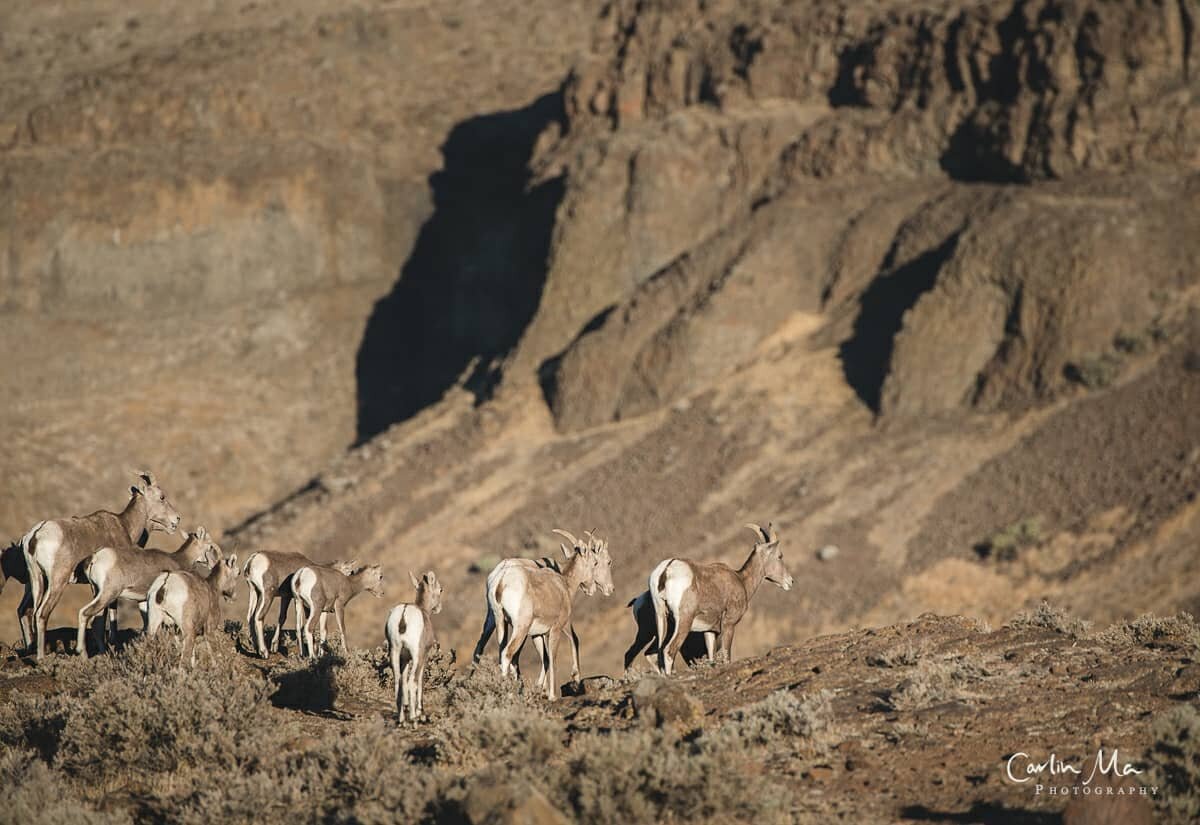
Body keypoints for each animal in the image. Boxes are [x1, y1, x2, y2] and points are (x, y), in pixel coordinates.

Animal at [22, 470, 180, 657]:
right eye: (162, 497)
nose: (176, 520)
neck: (125, 526)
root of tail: (36, 535)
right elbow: (109, 616)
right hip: (57, 582)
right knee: (41, 613)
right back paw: (42, 656)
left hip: (37, 581)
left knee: (30, 612)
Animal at [77, 525, 220, 661]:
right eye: (210, 545)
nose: (214, 564)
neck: (178, 559)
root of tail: (96, 557)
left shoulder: (143, 601)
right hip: (108, 594)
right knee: (84, 613)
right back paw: (82, 654)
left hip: (97, 593)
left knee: (97, 623)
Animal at [386, 573, 444, 719]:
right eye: (440, 589)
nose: (439, 608)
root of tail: (403, 615)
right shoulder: (424, 656)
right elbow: (420, 681)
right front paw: (420, 710)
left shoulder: (405, 658)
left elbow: (403, 680)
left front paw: (406, 706)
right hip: (416, 655)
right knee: (412, 681)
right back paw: (413, 717)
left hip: (394, 651)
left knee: (398, 680)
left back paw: (401, 717)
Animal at [489, 527, 614, 695]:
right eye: (597, 562)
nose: (608, 588)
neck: (564, 583)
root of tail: (501, 581)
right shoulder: (557, 628)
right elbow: (556, 656)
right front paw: (553, 694)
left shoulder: (537, 634)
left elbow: (547, 659)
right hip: (520, 628)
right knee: (508, 654)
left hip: (501, 622)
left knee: (503, 654)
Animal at [652, 522, 792, 676]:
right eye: (780, 556)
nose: (790, 581)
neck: (741, 581)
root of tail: (667, 568)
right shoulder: (729, 625)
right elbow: (726, 656)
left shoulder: (709, 632)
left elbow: (712, 658)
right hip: (684, 621)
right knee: (669, 651)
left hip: (661, 618)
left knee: (659, 652)